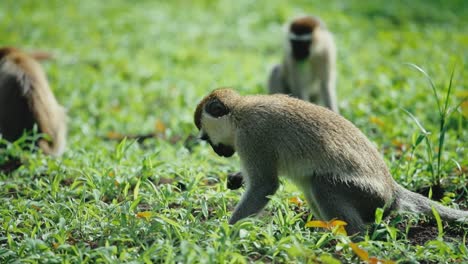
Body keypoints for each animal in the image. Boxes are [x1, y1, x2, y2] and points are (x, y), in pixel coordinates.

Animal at [195, 87, 468, 234]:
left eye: (206, 137)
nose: (218, 152)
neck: (239, 113)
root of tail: (392, 190)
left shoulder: (252, 137)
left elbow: (265, 185)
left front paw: (225, 231)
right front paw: (236, 178)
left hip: (370, 197)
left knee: (321, 184)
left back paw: (351, 237)